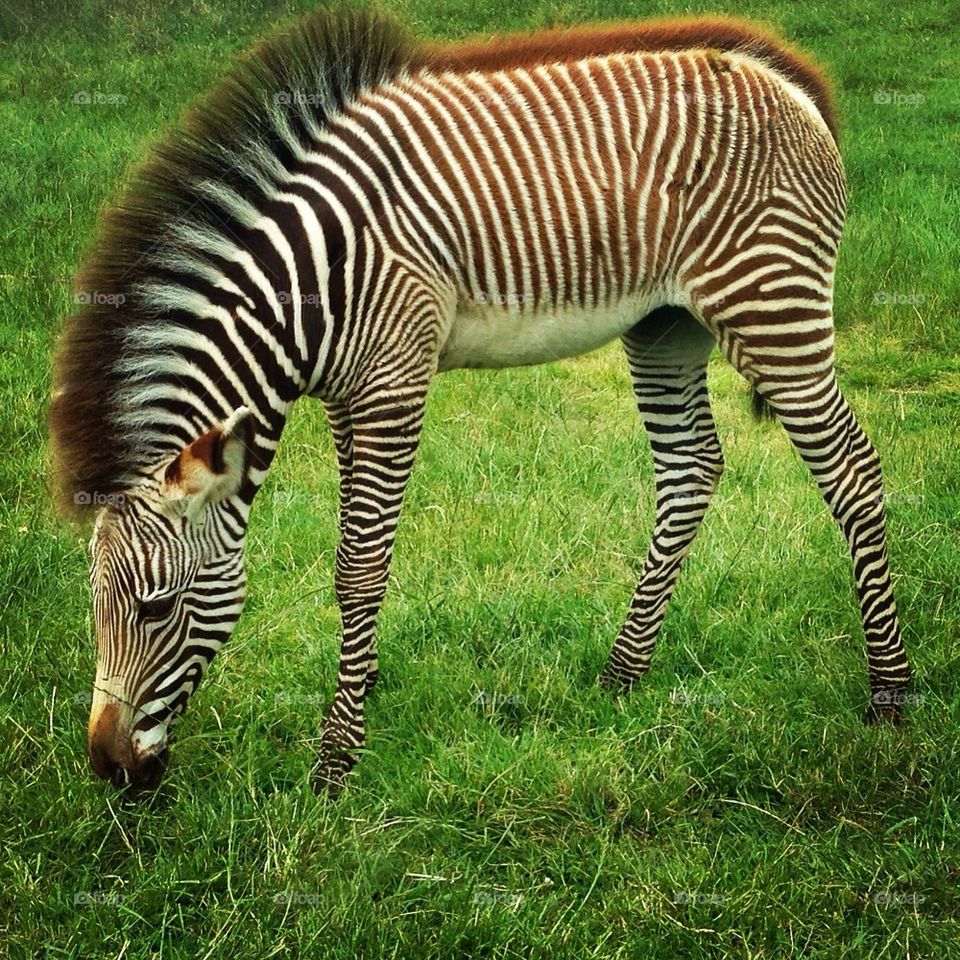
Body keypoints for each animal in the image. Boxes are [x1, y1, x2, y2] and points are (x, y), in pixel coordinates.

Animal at [52, 9, 916, 796]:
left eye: (157, 608)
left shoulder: (393, 379)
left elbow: (358, 567)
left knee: (852, 472)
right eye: (91, 603)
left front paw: (336, 762)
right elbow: (353, 559)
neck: (310, 284)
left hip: (771, 304)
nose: (109, 770)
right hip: (665, 325)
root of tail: (785, 76)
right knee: (691, 468)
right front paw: (360, 698)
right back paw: (623, 673)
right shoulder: (347, 393)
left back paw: (891, 696)